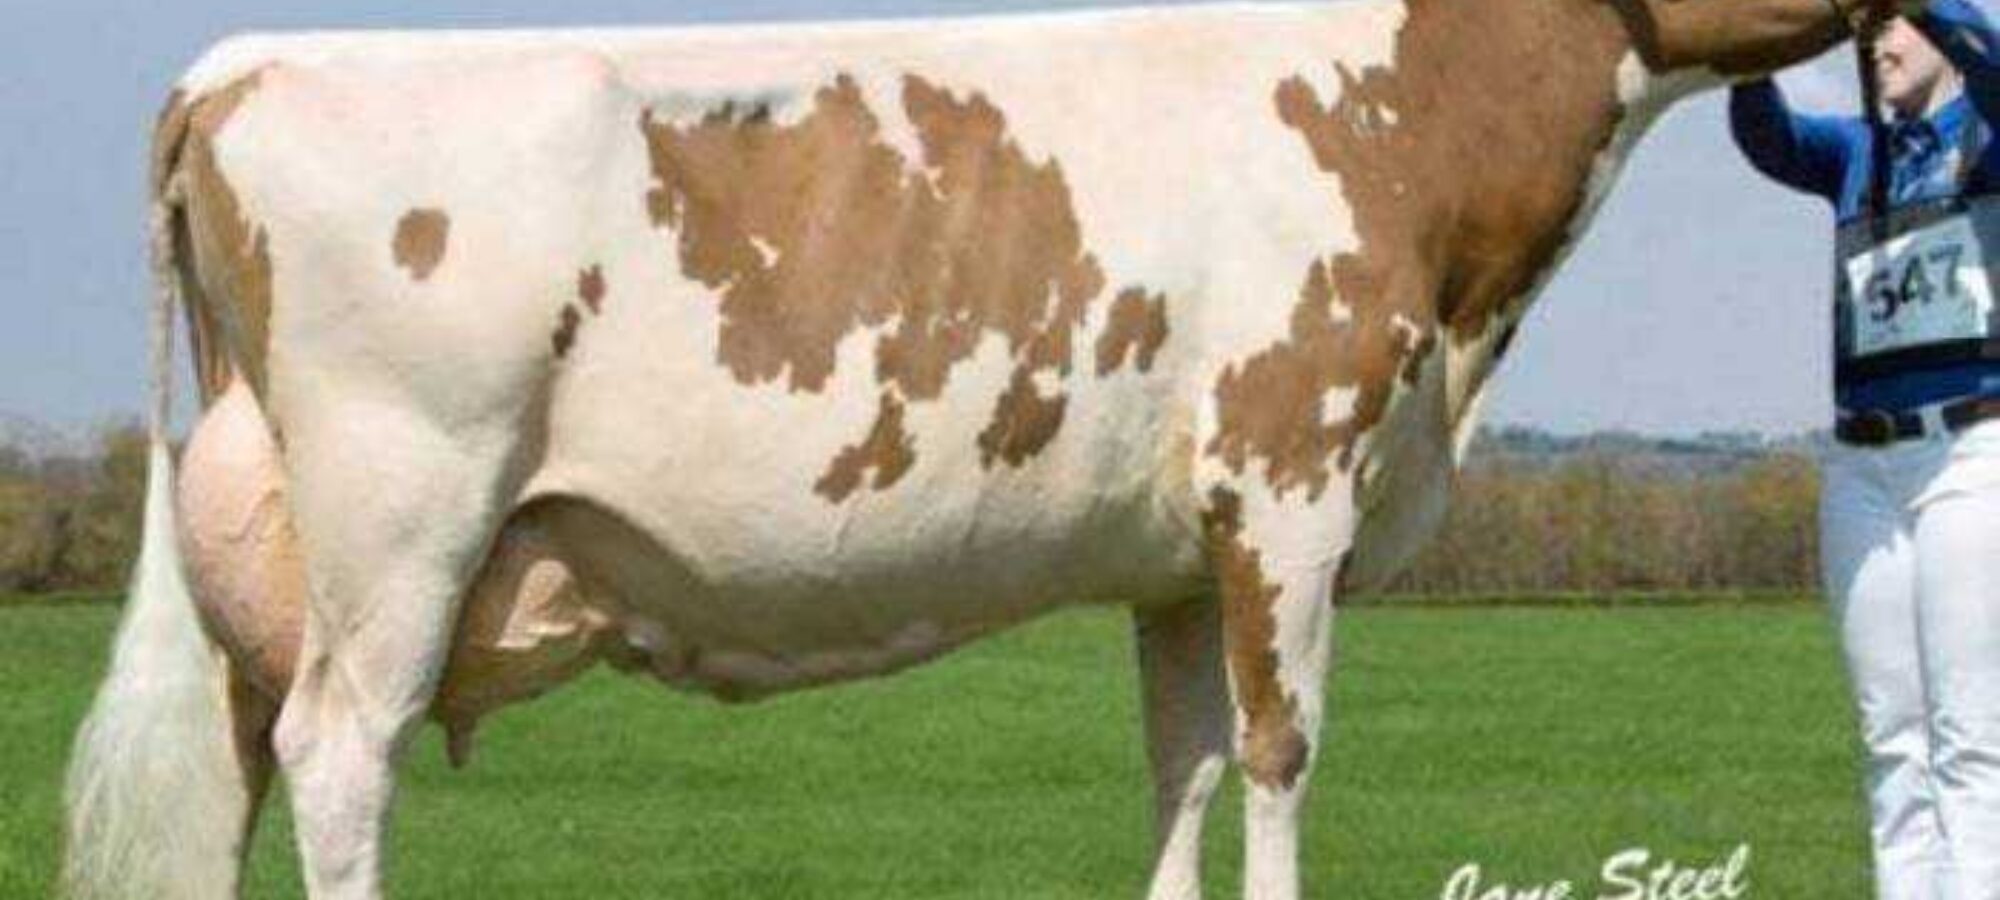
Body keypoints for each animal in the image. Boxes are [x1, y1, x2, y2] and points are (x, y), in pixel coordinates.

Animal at [62, 0, 1895, 898]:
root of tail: (246, 63)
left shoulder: (1183, 548)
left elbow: (1187, 767)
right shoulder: (1291, 484)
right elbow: (1282, 757)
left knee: (242, 767)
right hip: (404, 514)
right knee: (338, 757)